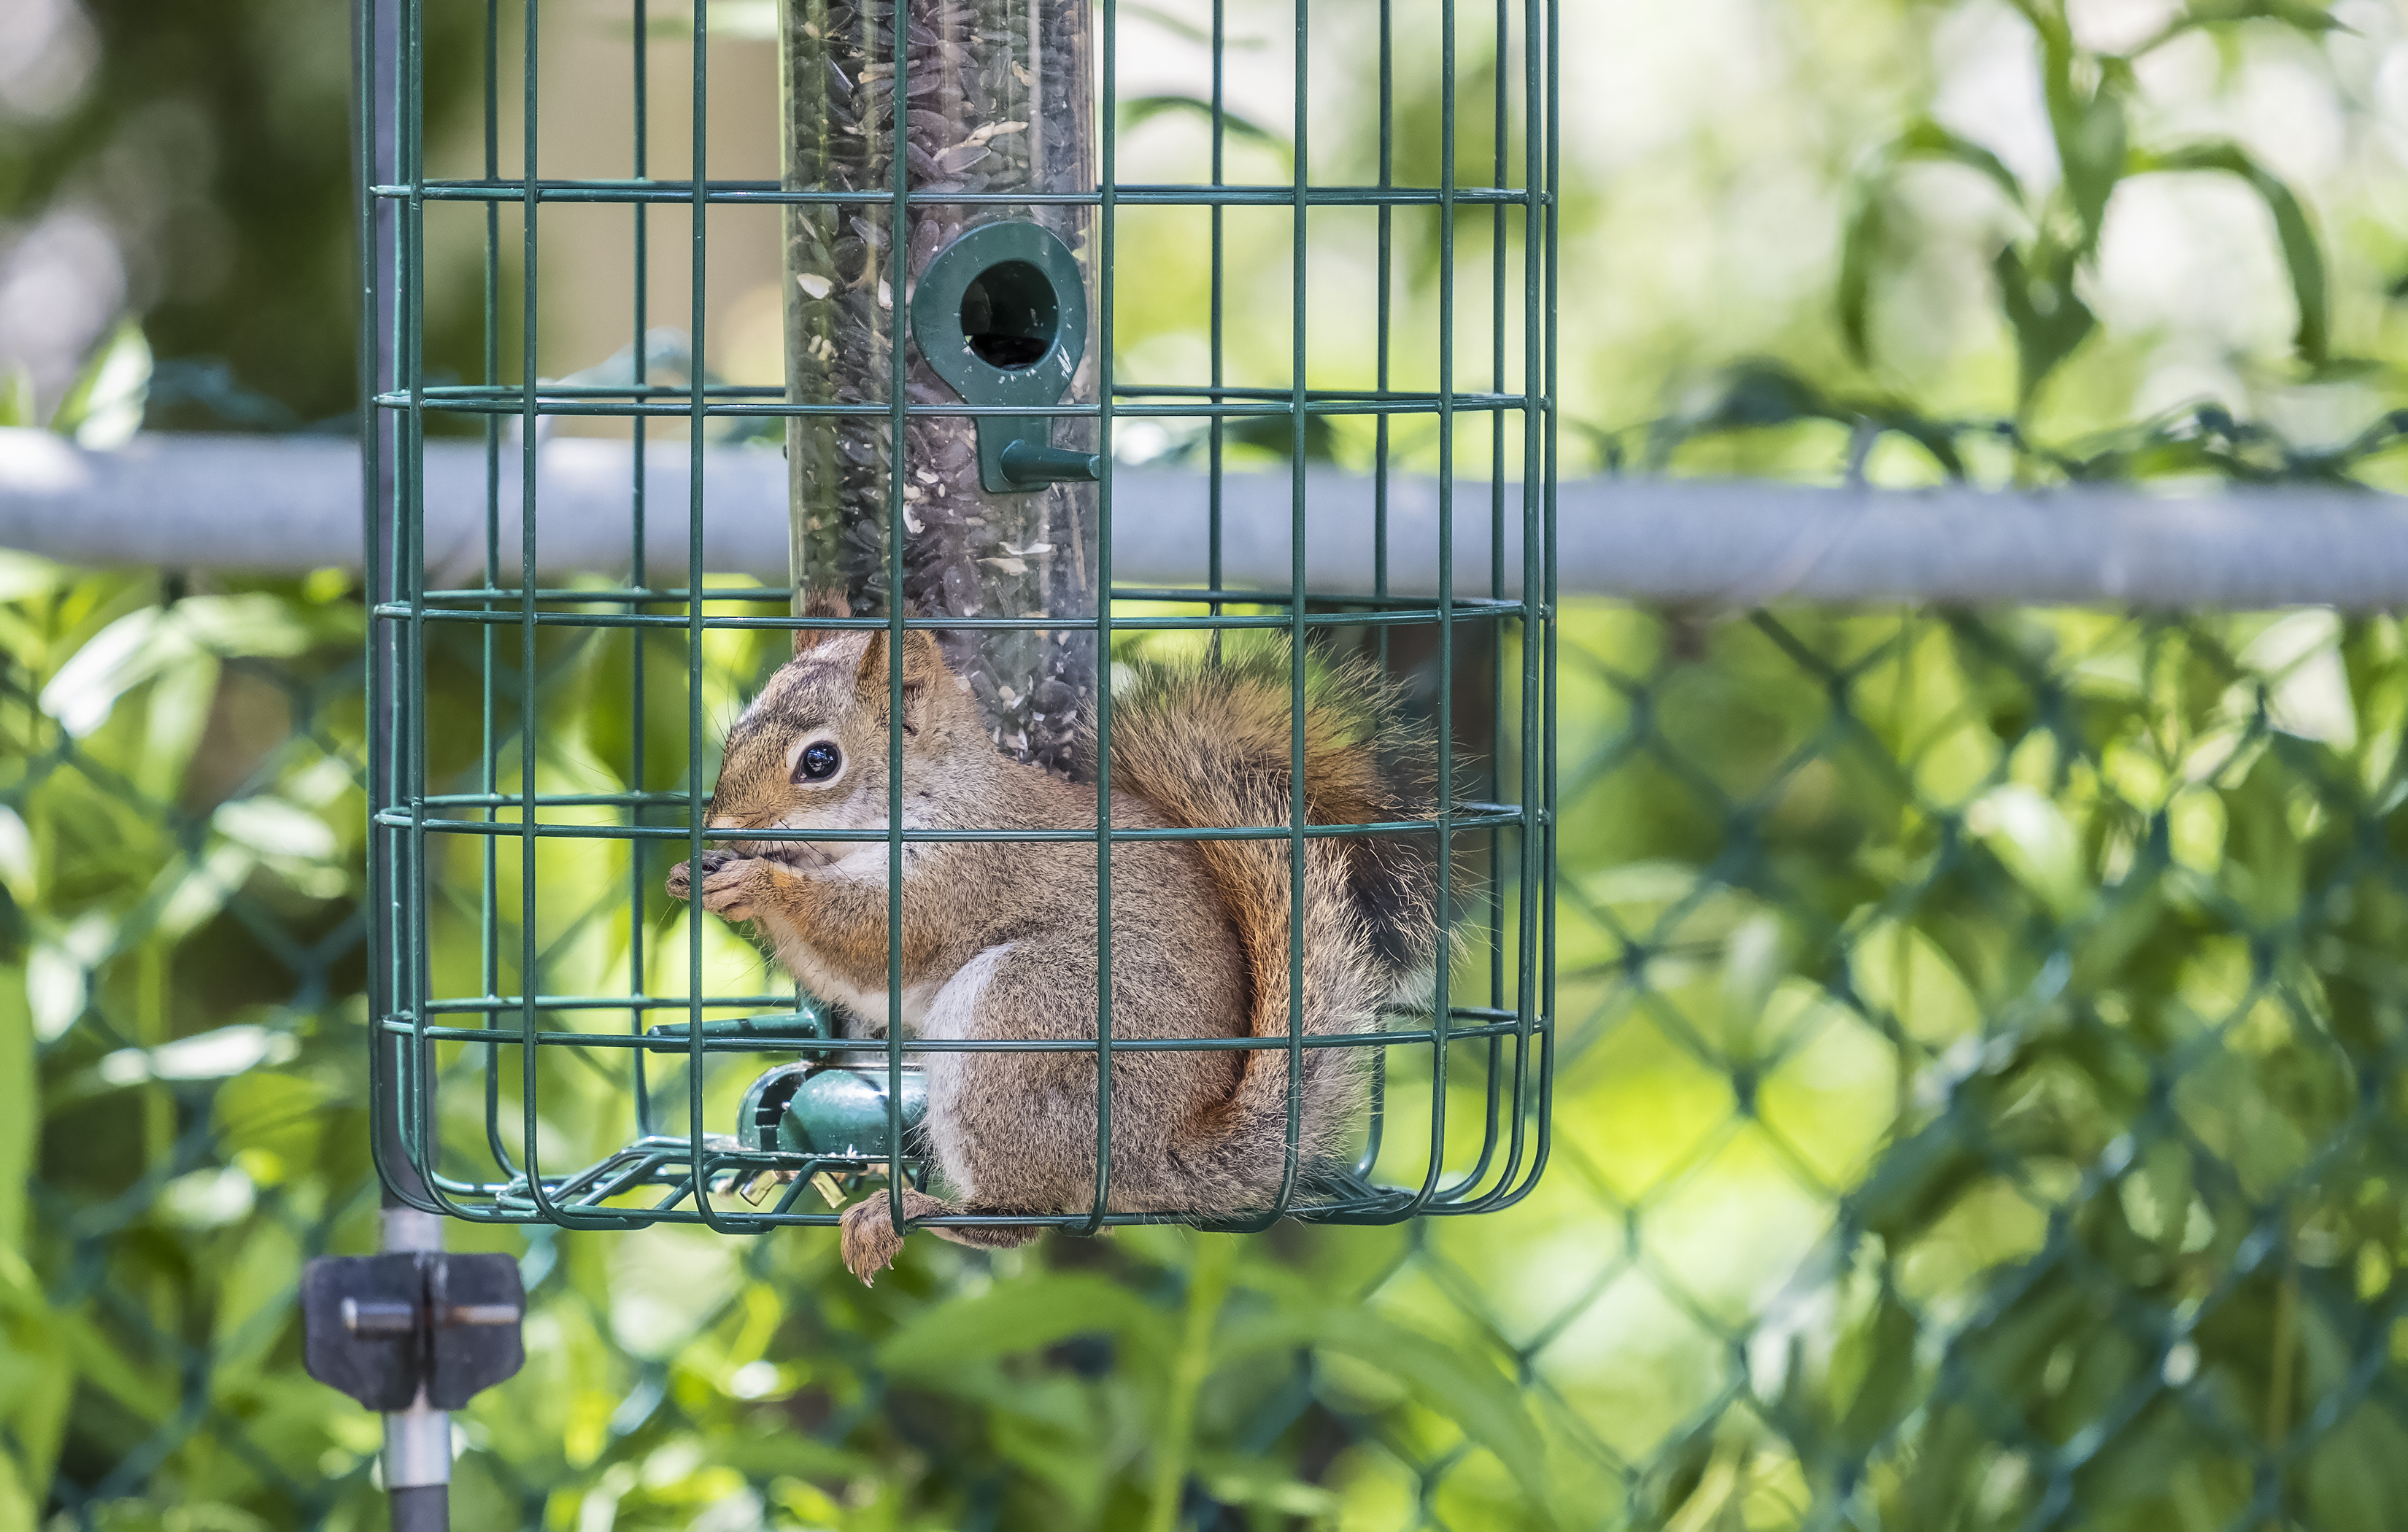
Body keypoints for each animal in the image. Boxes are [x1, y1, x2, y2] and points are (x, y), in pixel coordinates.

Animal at [669, 597, 1435, 1281]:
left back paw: (914, 1212)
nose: (720, 829)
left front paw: (759, 885)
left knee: (1019, 1222)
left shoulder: (964, 871)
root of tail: (1158, 1158)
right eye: (733, 737)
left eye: (820, 761)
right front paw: (692, 875)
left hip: (1019, 1020)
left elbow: (878, 936)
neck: (929, 797)